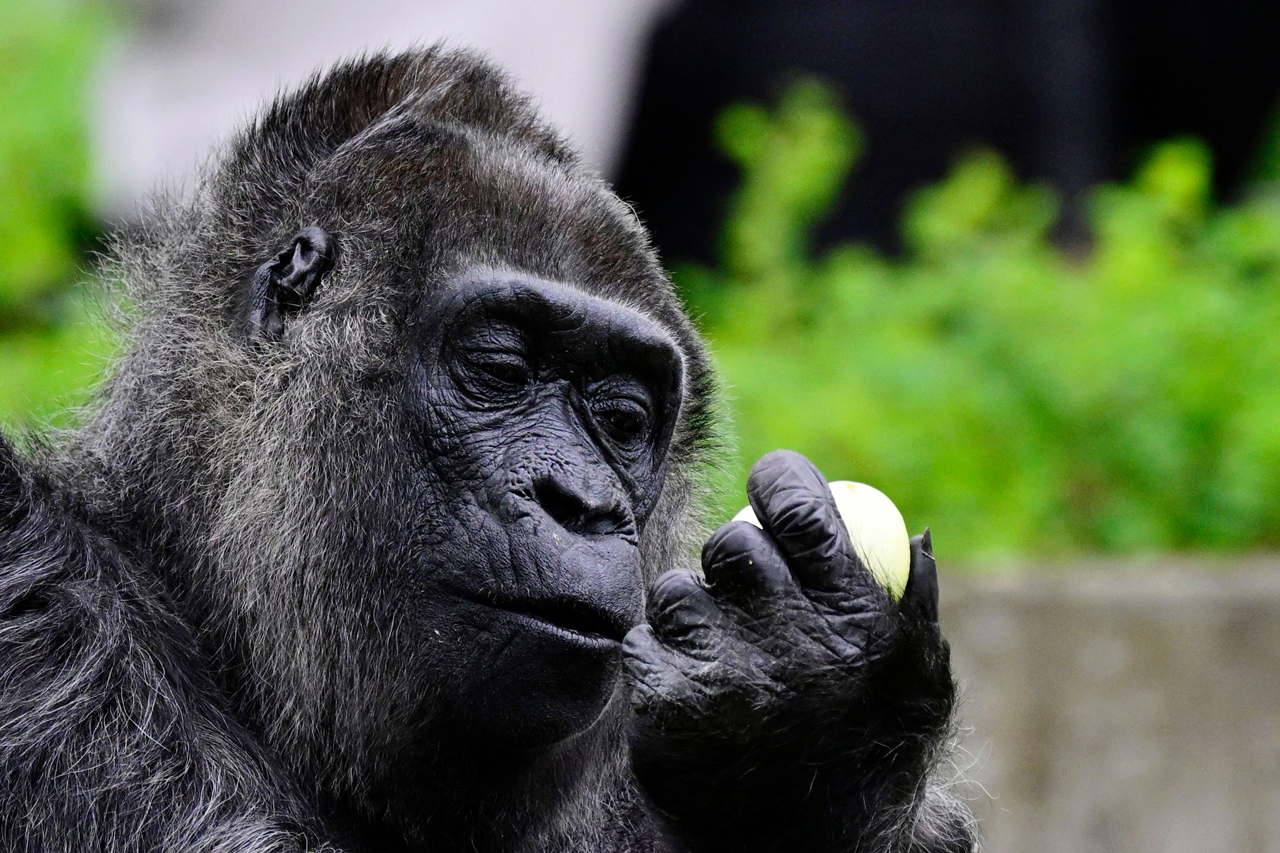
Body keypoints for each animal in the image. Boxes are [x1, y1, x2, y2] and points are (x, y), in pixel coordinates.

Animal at [0, 48, 967, 850]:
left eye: (620, 420)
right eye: (500, 370)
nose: (582, 502)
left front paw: (819, 722)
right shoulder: (44, 609)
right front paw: (799, 725)